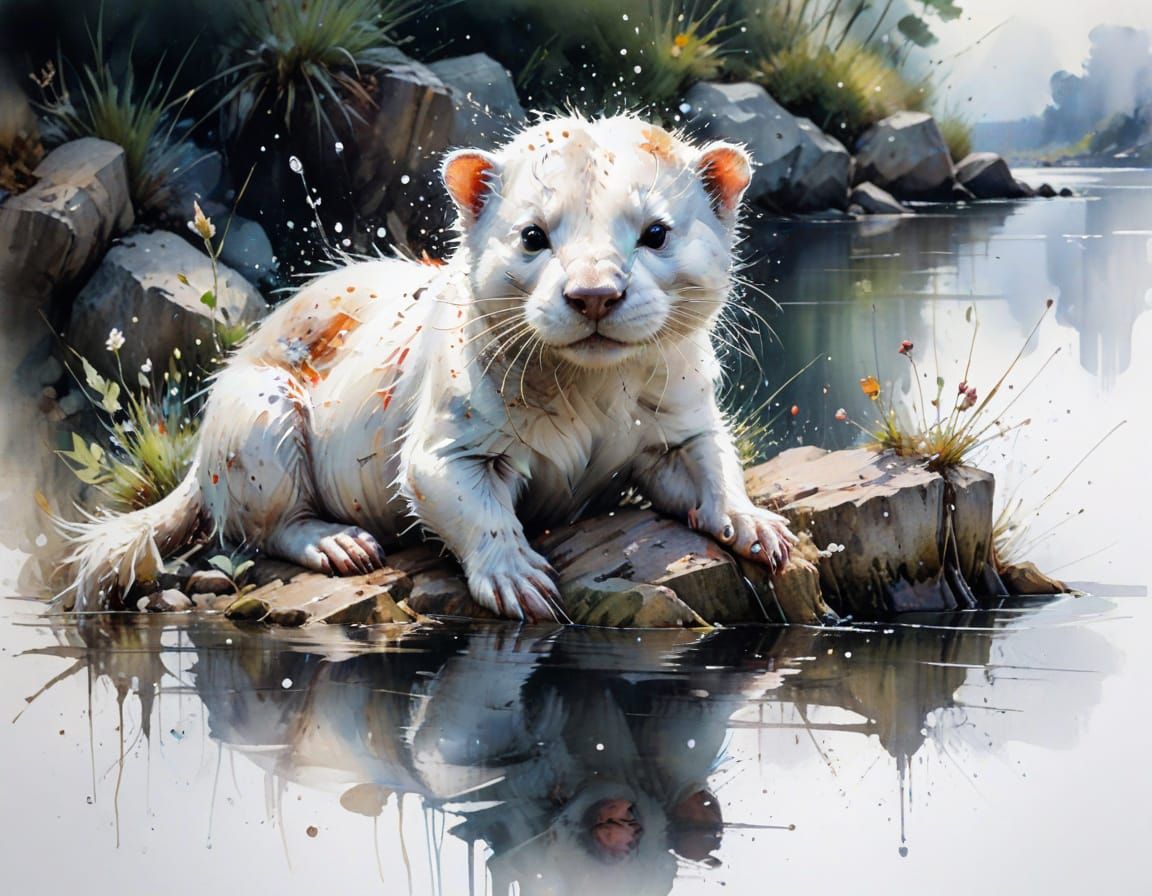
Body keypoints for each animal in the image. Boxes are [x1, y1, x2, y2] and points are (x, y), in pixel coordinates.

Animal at [60, 115, 795, 620]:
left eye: (656, 232)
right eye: (533, 234)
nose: (593, 294)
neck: (591, 397)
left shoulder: (679, 421)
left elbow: (713, 464)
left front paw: (758, 526)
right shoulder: (450, 444)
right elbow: (468, 504)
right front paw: (518, 578)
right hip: (262, 422)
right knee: (262, 524)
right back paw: (339, 544)